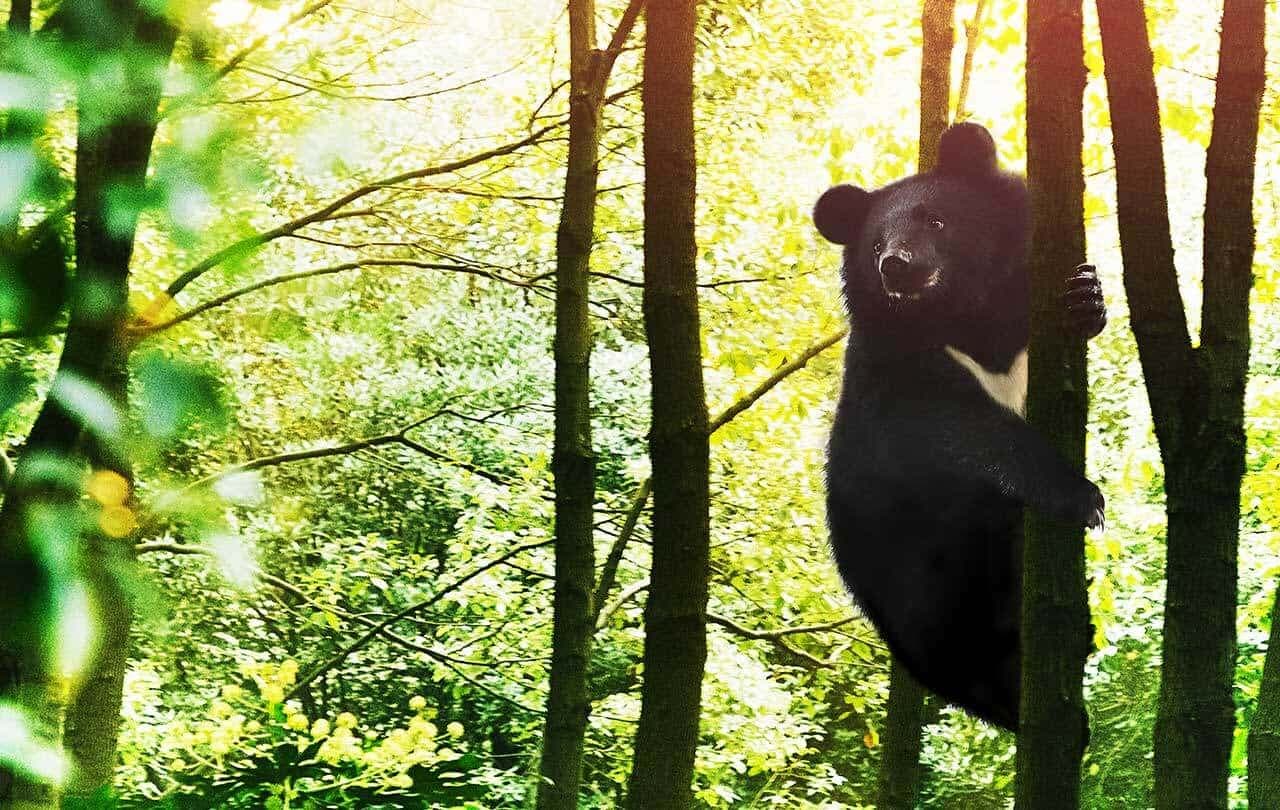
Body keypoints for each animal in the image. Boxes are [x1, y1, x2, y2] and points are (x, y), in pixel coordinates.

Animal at [814, 122, 1106, 730]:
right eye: (874, 244)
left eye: (936, 221)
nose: (896, 265)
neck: (960, 318)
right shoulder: (897, 375)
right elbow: (959, 433)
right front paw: (1082, 497)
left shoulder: (1019, 332)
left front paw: (1086, 298)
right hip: (928, 576)